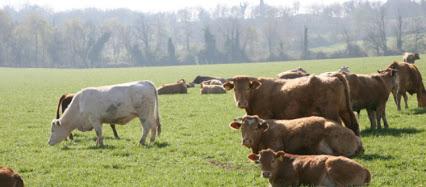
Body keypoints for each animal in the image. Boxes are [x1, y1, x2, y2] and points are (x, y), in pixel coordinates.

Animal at [223, 74, 360, 136]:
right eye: (235, 89)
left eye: (248, 88)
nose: (241, 103)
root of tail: (331, 75)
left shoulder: (265, 116)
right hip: (344, 110)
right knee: (352, 124)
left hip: (331, 112)